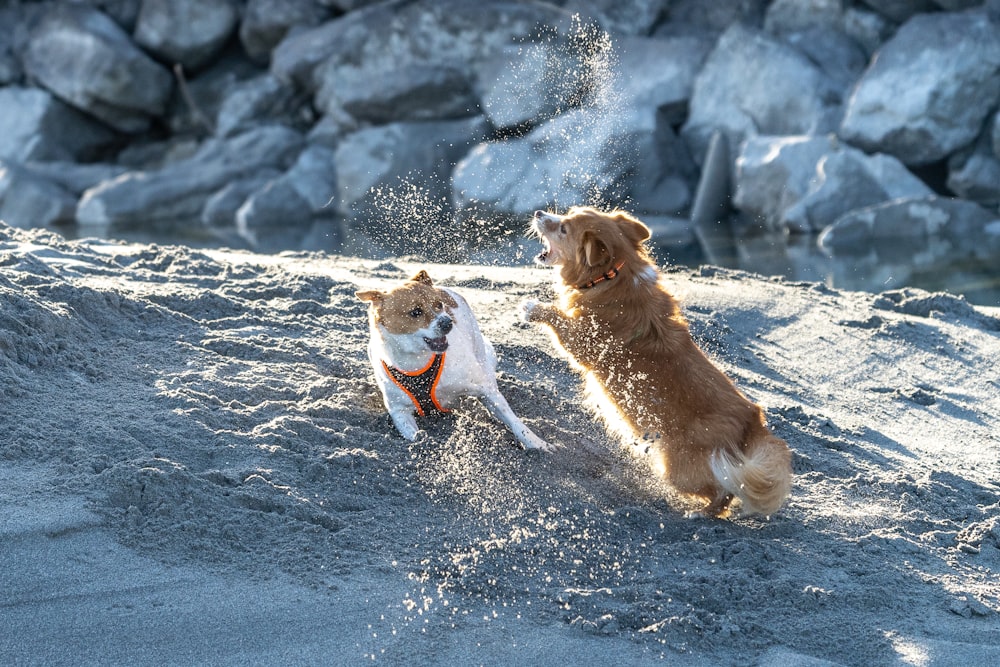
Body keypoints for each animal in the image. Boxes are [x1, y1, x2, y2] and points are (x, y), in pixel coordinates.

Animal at [356, 272, 552, 454]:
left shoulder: (483, 389)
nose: (446, 322)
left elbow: (513, 420)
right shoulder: (399, 411)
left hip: (479, 351)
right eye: (415, 312)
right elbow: (415, 435)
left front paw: (538, 444)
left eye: (439, 305)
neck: (417, 360)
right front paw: (425, 442)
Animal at [524, 207, 788, 516]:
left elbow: (558, 320)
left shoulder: (584, 341)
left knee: (723, 492)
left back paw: (699, 512)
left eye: (563, 228)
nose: (539, 212)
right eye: (568, 213)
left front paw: (533, 308)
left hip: (679, 470)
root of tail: (752, 419)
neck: (611, 277)